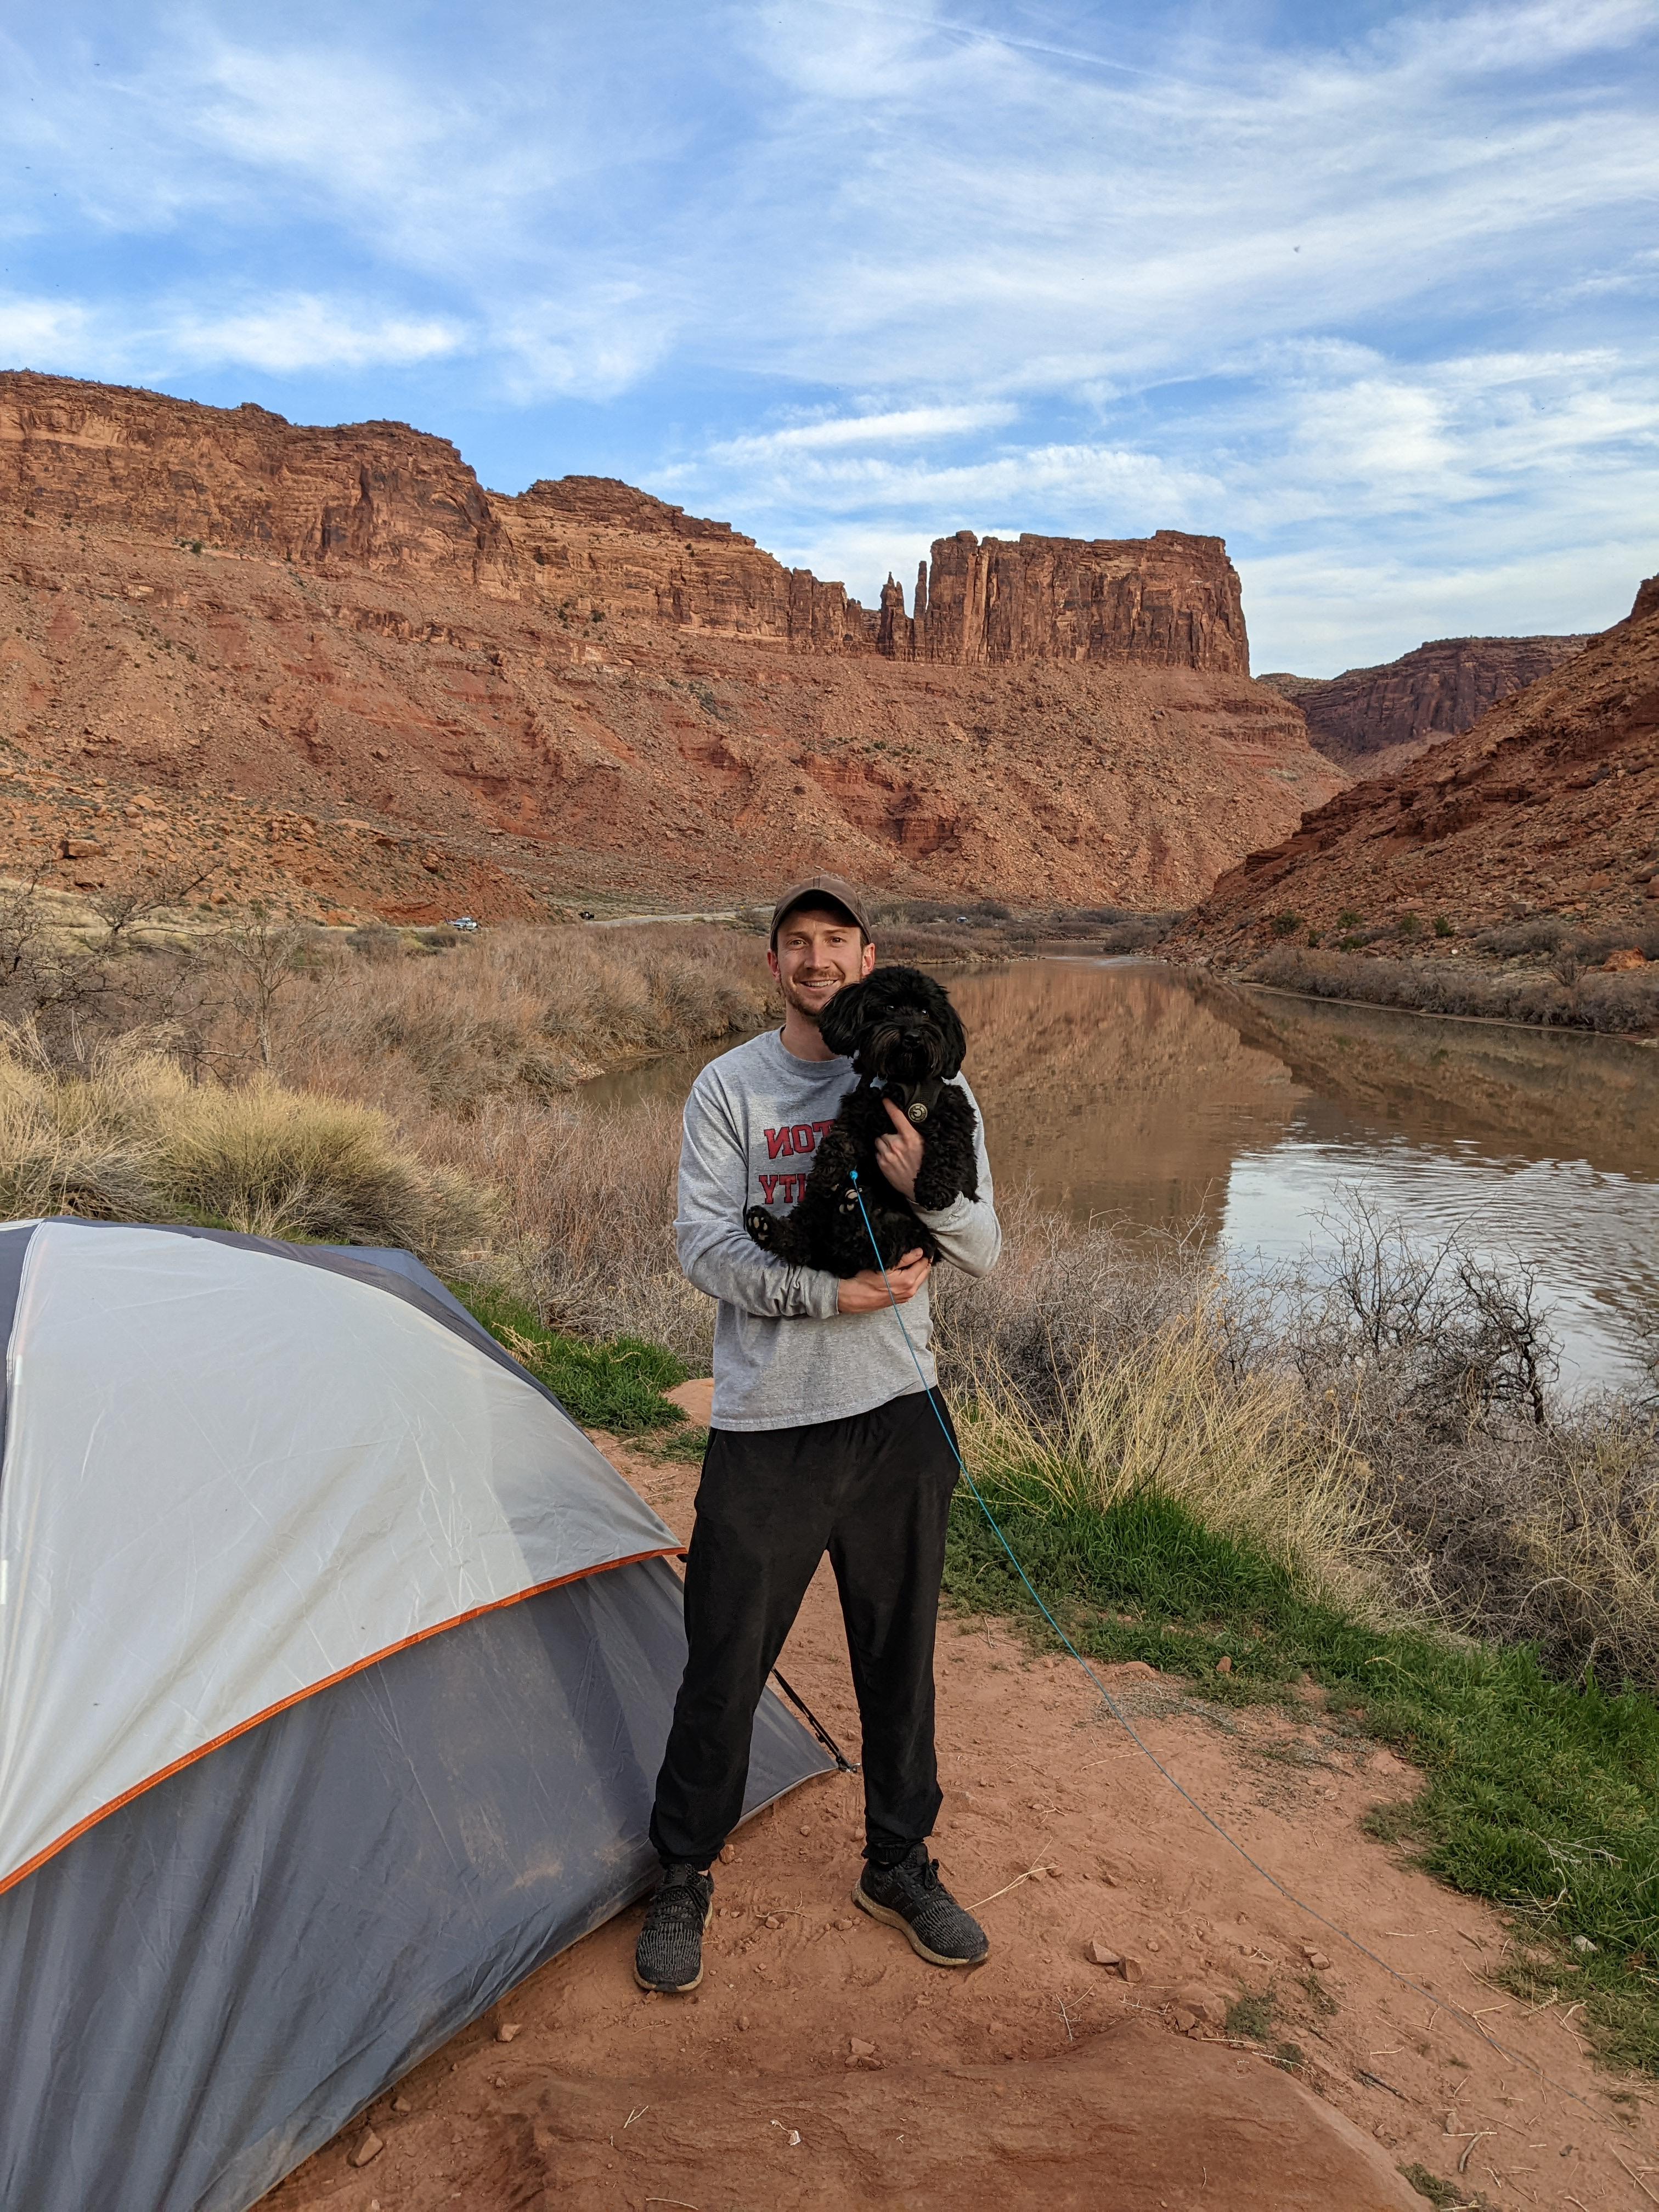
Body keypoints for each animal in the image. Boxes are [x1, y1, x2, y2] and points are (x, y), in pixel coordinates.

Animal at [747, 969, 982, 1283]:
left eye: (925, 1012)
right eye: (890, 1007)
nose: (913, 1037)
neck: (903, 1082)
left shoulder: (954, 1108)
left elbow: (950, 1144)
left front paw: (936, 1189)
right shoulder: (860, 1106)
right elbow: (841, 1136)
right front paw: (828, 1170)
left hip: (909, 1233)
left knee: (872, 1246)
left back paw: (853, 1213)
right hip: (819, 1209)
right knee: (807, 1242)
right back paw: (767, 1226)